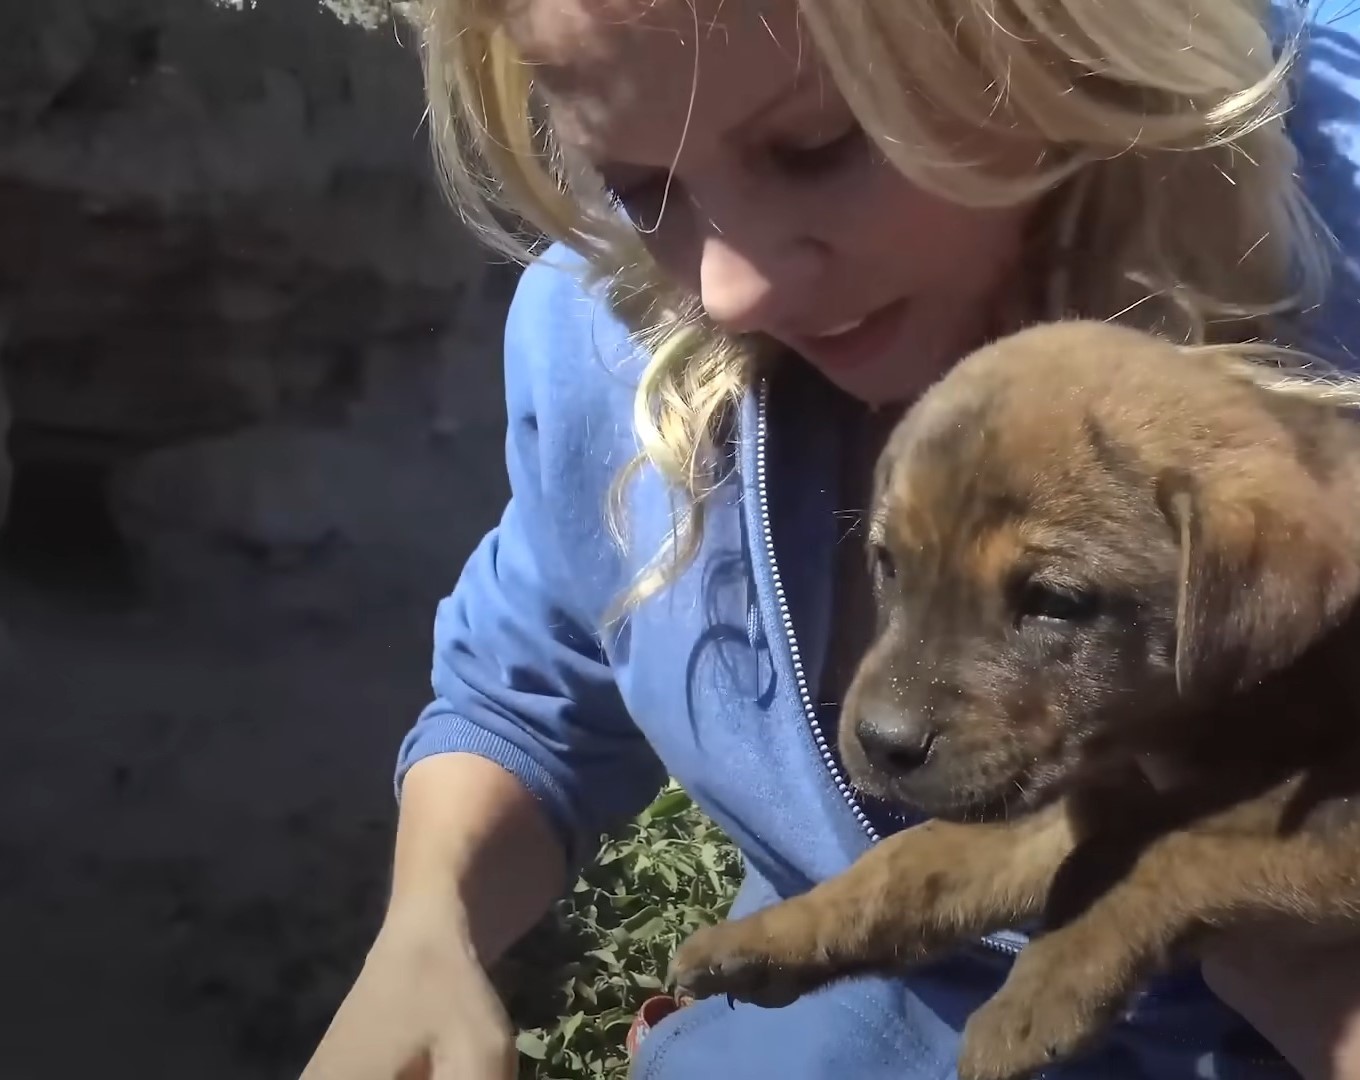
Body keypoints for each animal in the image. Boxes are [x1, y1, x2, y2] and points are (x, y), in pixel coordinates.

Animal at [671, 319, 1360, 1077]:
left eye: (1054, 602)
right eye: (889, 564)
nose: (881, 745)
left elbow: (1168, 849)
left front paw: (1044, 991)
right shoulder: (1073, 793)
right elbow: (912, 863)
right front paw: (771, 935)